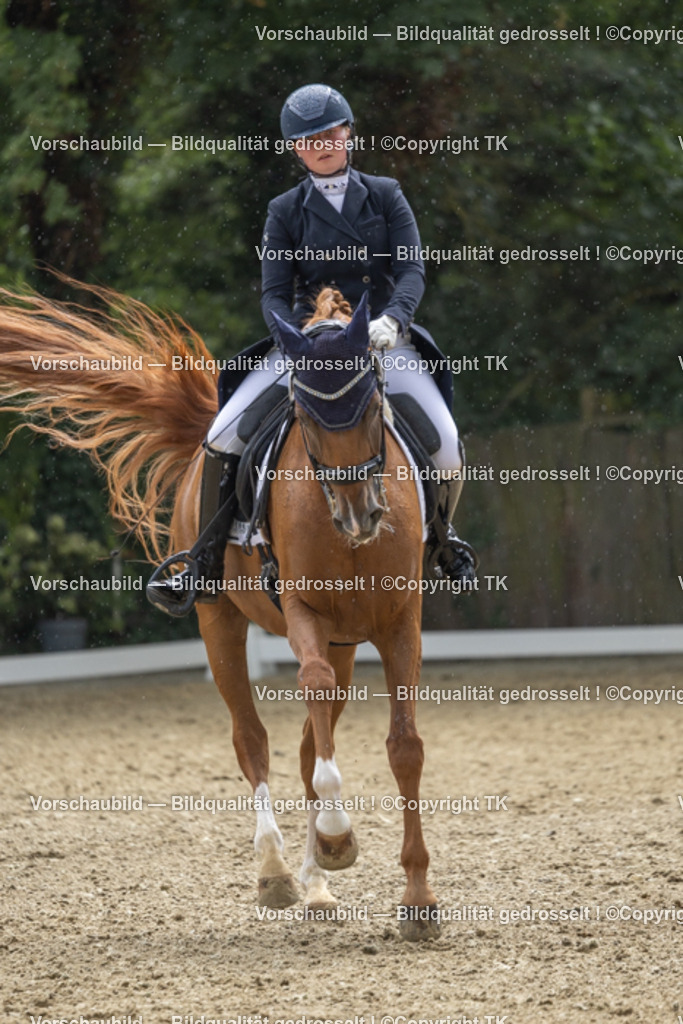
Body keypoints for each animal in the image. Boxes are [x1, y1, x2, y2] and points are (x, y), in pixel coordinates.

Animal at [0, 279, 440, 941]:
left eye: (371, 404)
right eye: (305, 413)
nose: (360, 514)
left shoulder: (398, 624)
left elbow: (404, 747)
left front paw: (417, 898)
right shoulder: (303, 611)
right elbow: (304, 702)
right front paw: (339, 839)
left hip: (343, 644)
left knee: (309, 746)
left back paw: (316, 882)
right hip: (220, 623)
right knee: (251, 737)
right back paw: (278, 872)